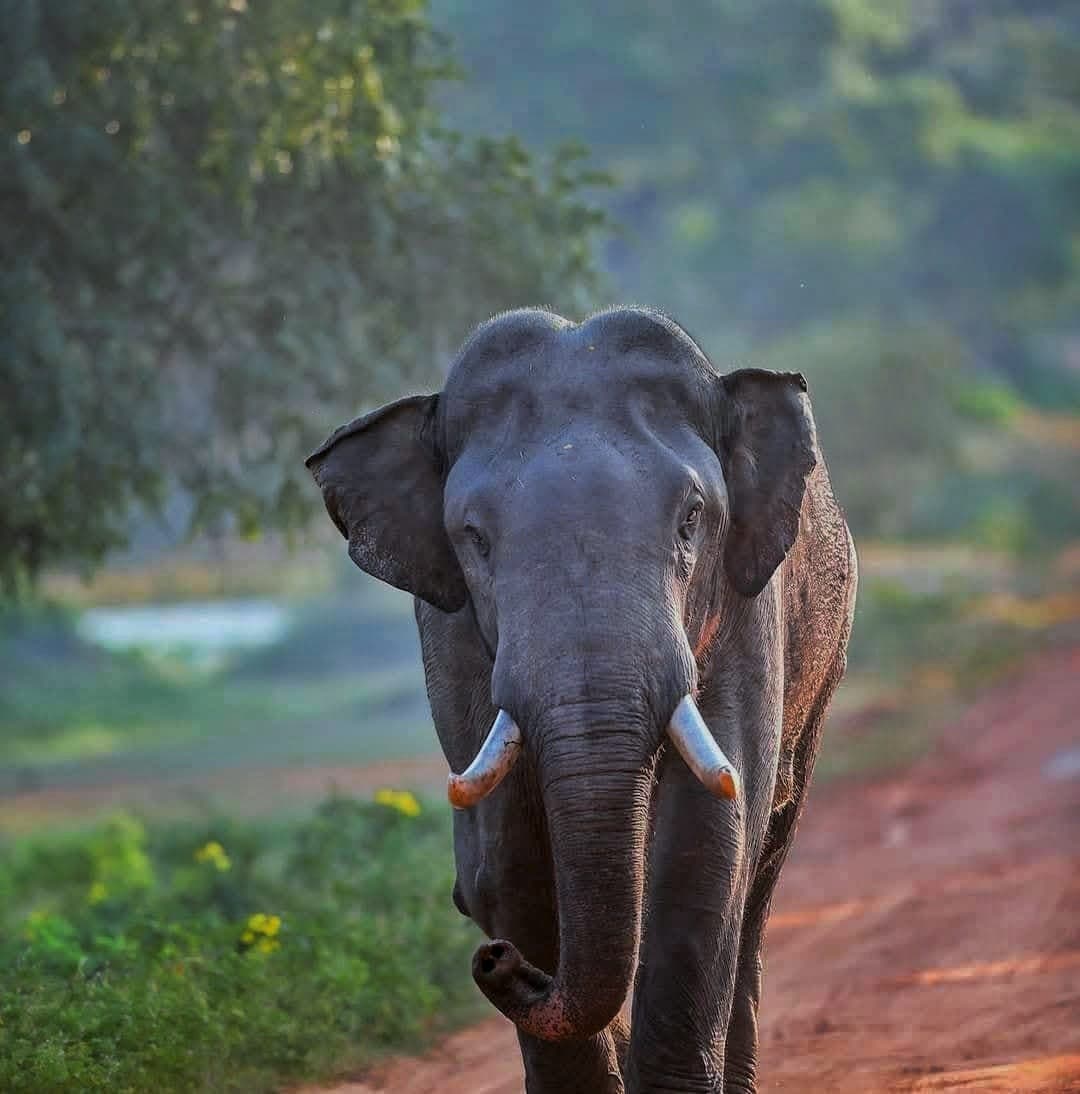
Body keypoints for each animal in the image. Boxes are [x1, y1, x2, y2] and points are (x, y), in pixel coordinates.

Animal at [306, 307, 857, 1093]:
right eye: (473, 538)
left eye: (691, 519)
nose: (494, 959)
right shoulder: (454, 643)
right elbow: (511, 858)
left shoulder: (747, 612)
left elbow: (706, 840)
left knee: (763, 865)